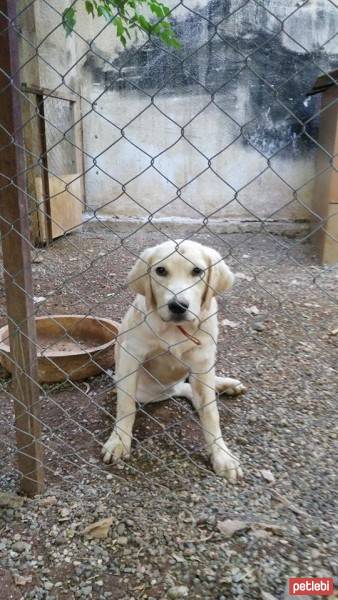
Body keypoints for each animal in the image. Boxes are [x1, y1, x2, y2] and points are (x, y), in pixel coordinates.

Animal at [101, 239, 246, 482]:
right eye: (160, 271)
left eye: (197, 271)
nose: (178, 305)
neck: (176, 330)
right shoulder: (131, 355)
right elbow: (126, 405)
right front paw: (119, 442)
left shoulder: (203, 359)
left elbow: (211, 413)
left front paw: (222, 456)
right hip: (144, 388)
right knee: (180, 390)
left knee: (195, 392)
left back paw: (226, 385)